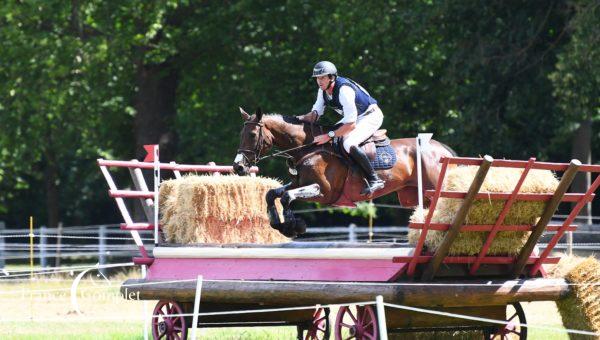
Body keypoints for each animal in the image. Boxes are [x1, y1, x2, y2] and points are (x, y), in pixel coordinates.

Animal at [233, 107, 454, 238]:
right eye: (241, 133)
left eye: (252, 135)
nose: (238, 167)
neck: (308, 148)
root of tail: (442, 149)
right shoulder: (298, 183)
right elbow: (272, 194)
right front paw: (278, 224)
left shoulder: (324, 191)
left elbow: (287, 197)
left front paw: (292, 226)